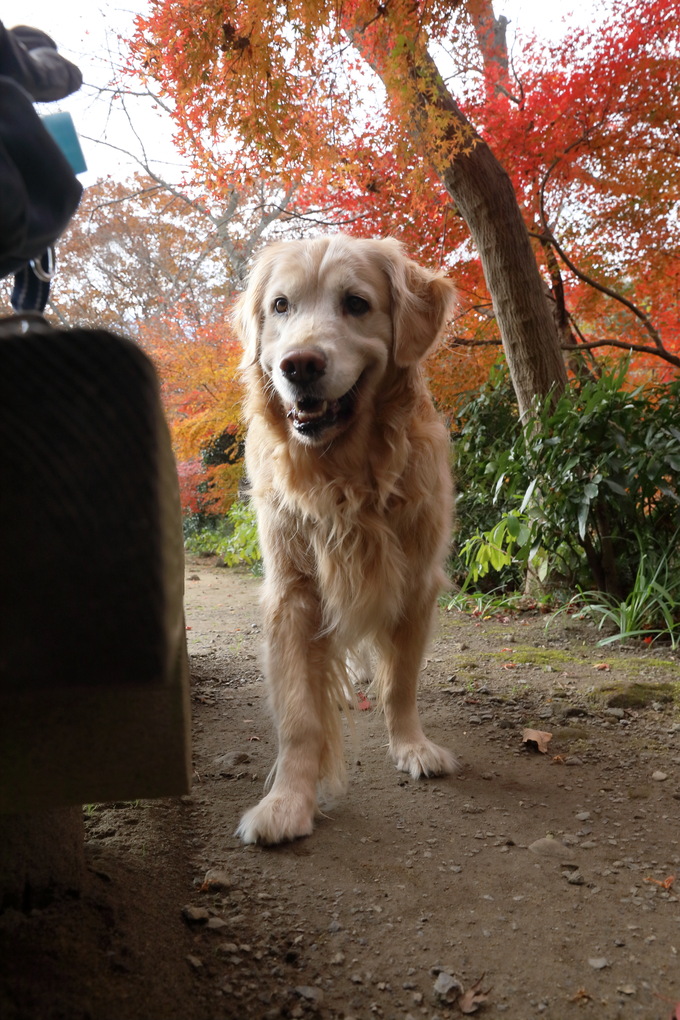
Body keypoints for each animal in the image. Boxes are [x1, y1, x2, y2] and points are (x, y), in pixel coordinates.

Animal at [232, 233, 456, 844]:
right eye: (280, 306)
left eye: (356, 303)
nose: (299, 365)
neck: (347, 477)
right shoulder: (293, 591)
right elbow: (299, 715)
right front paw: (287, 801)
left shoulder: (416, 582)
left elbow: (400, 682)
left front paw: (413, 746)